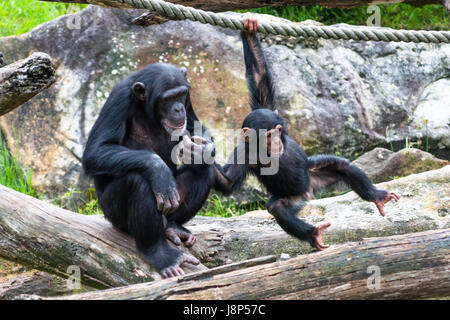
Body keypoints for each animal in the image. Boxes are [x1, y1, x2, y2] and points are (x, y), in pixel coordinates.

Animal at [82, 63, 216, 278]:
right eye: (168, 99)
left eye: (181, 95)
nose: (178, 108)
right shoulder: (119, 99)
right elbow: (97, 149)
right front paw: (158, 170)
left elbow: (194, 125)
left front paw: (202, 150)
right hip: (112, 214)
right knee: (139, 181)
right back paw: (161, 254)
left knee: (204, 171)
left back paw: (174, 228)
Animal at [213, 14, 400, 250]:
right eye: (267, 135)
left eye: (278, 131)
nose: (277, 141)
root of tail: (308, 191)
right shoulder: (245, 152)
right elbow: (227, 180)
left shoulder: (268, 106)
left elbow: (259, 76)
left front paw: (249, 29)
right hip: (293, 197)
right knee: (277, 208)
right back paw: (313, 234)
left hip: (313, 174)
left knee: (342, 165)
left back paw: (377, 196)